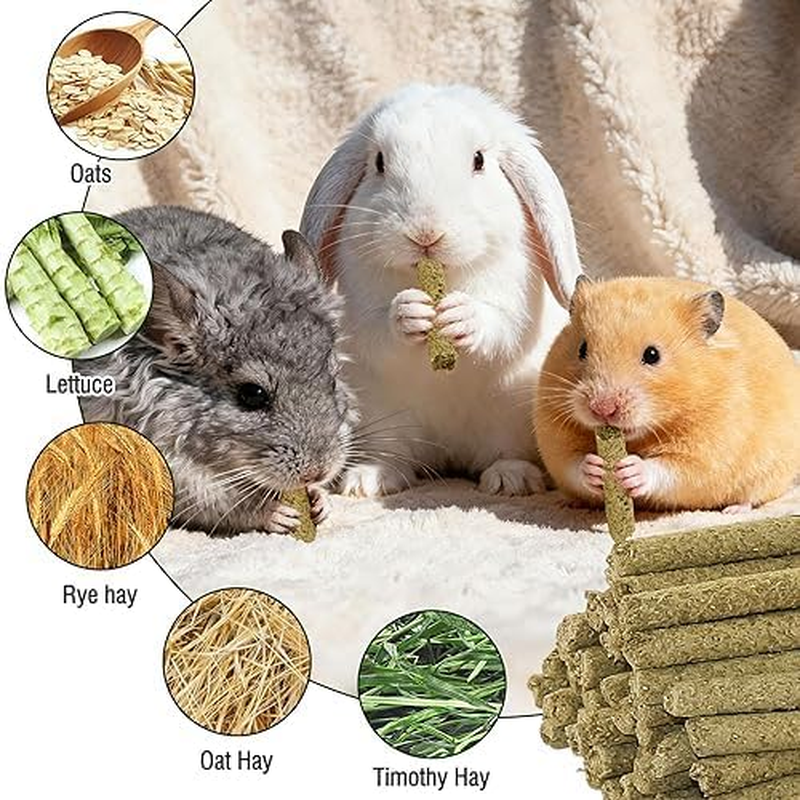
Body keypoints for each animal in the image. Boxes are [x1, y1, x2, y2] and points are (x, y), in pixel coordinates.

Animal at [78, 205, 357, 536]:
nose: (318, 471)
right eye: (252, 394)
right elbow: (226, 504)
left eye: (332, 380)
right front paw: (278, 513)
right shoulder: (175, 472)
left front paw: (320, 500)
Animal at [300, 83, 583, 497]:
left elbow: (503, 325)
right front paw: (410, 312)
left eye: (479, 160)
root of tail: (447, 450)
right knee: (394, 454)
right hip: (380, 416)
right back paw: (368, 480)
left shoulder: (515, 303)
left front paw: (460, 316)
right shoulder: (359, 312)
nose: (425, 233)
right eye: (379, 162)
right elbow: (375, 330)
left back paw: (511, 480)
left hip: (512, 417)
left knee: (504, 452)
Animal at [535, 276, 800, 512]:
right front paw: (595, 467)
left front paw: (631, 469)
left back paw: (735, 509)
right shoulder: (553, 437)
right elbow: (572, 464)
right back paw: (567, 503)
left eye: (652, 355)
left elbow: (671, 469)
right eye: (582, 349)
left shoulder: (708, 450)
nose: (603, 408)